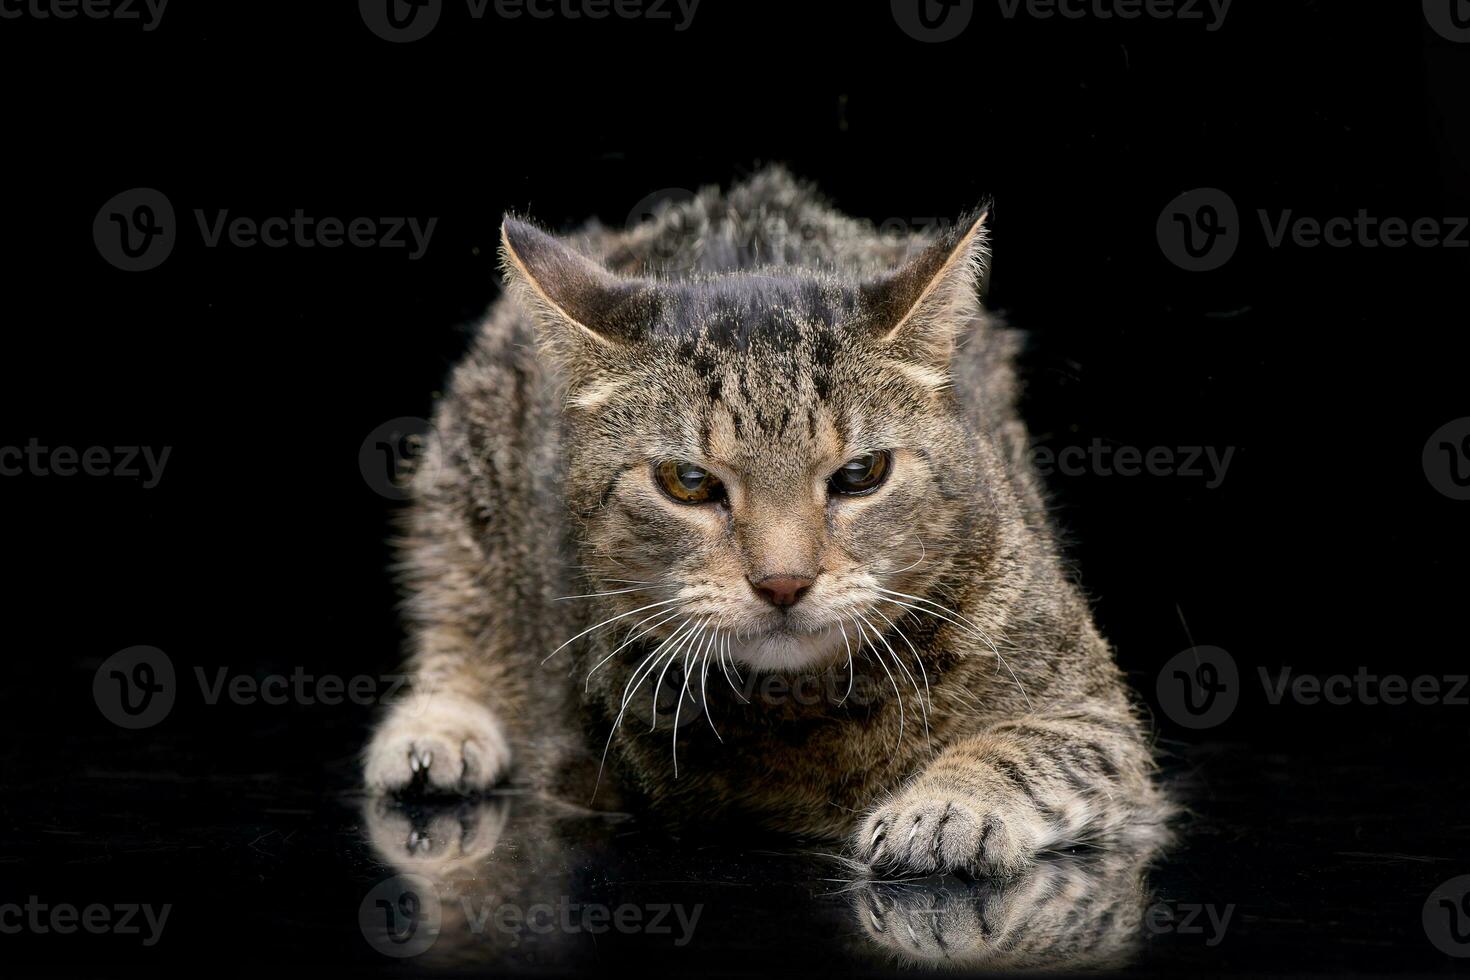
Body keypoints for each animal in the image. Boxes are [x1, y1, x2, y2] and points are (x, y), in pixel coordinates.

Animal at [361, 164, 1164, 875]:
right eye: (687, 483)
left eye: (860, 475)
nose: (783, 582)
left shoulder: (1096, 715)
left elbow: (1034, 748)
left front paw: (947, 803)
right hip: (467, 464)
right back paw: (439, 726)